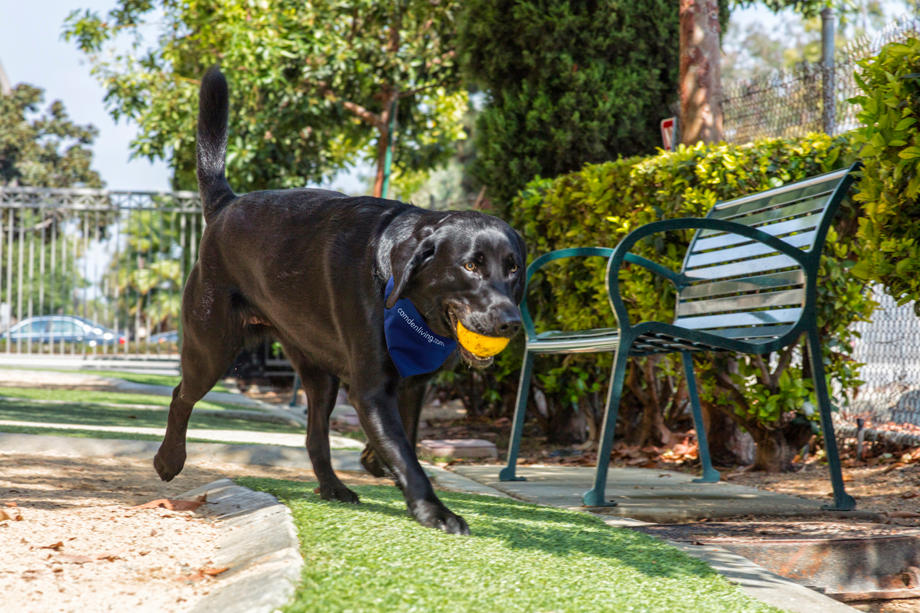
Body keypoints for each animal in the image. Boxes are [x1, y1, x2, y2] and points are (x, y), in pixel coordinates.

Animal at [155, 67, 520, 532]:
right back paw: (168, 460)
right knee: (181, 394)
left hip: (318, 373)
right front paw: (434, 511)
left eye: (513, 268)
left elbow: (404, 440)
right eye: (471, 266)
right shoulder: (371, 390)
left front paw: (375, 460)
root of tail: (226, 204)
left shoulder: (413, 386)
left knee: (314, 438)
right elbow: (407, 456)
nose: (510, 321)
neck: (403, 299)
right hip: (212, 347)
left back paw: (333, 487)